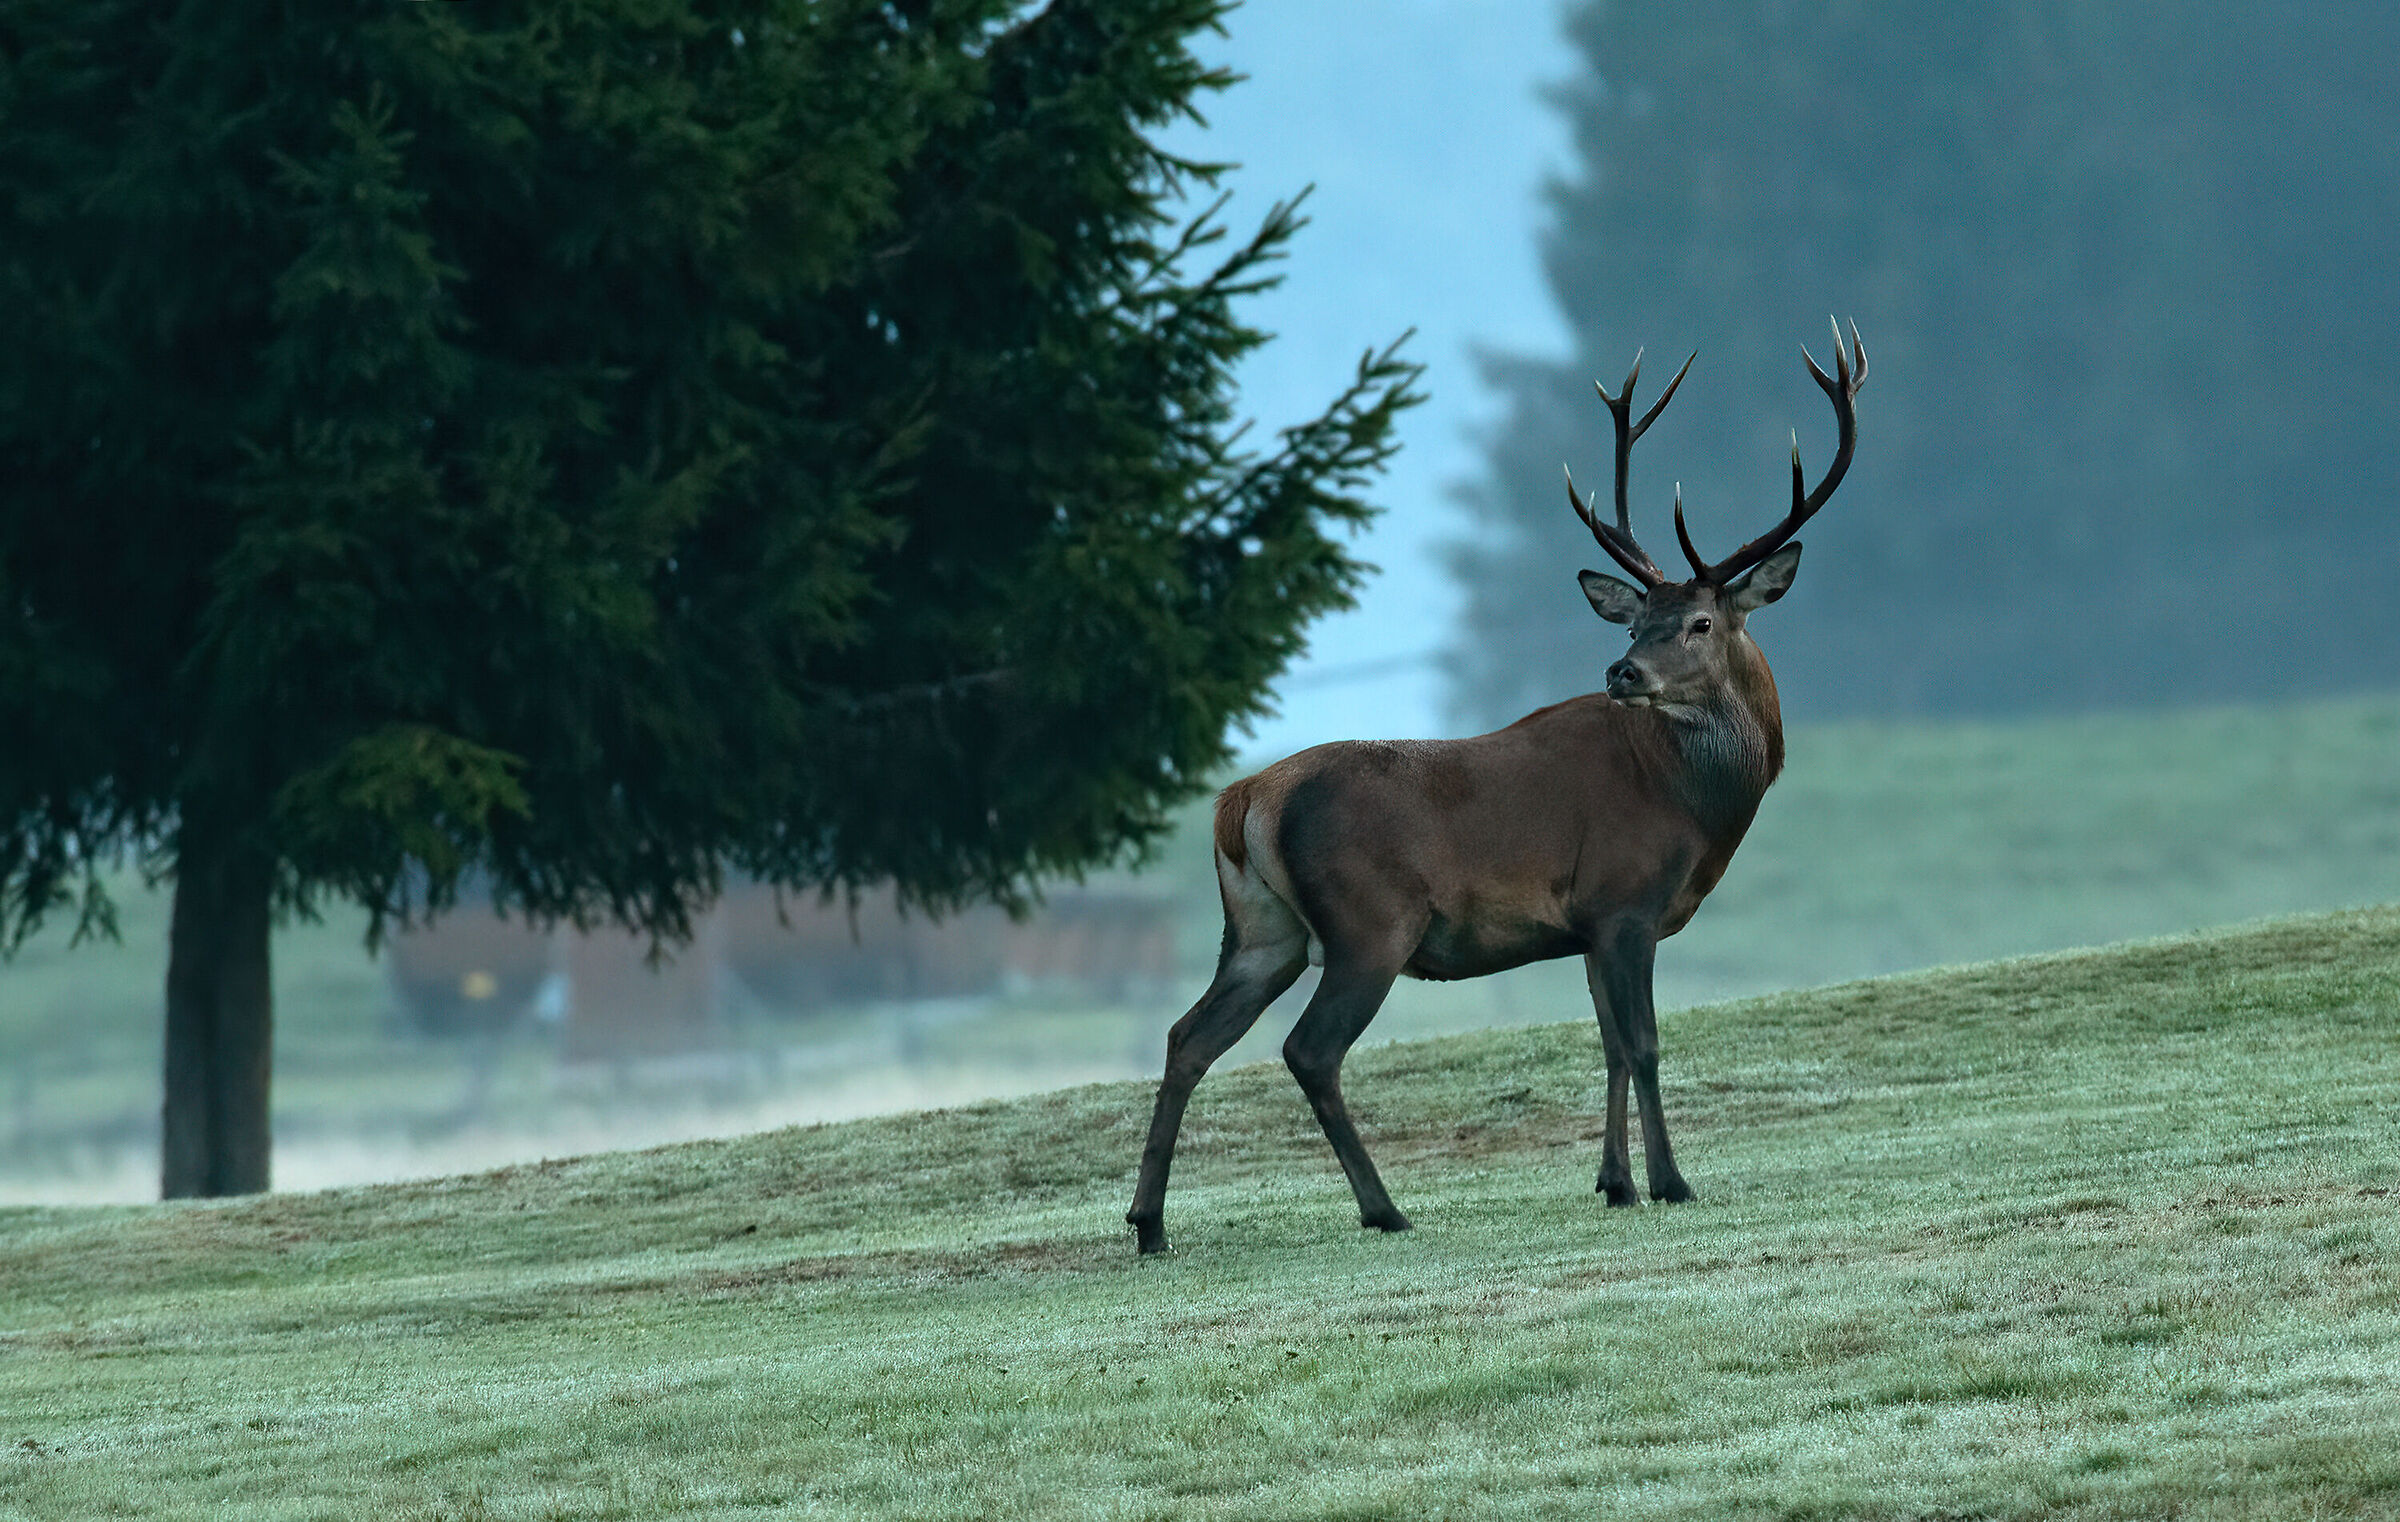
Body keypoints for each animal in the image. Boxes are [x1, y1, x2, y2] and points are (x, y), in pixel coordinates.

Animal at [1126, 321, 1867, 1254]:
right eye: (1637, 621)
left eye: (1698, 622)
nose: (1622, 671)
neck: (1695, 810)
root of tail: (1246, 799)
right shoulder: (1626, 901)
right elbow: (1646, 1043)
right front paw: (1671, 1182)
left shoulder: (1586, 927)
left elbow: (1608, 1046)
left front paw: (1614, 1183)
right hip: (1370, 922)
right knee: (1309, 1050)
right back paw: (1384, 1208)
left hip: (1262, 929)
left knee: (1187, 1038)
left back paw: (1148, 1222)